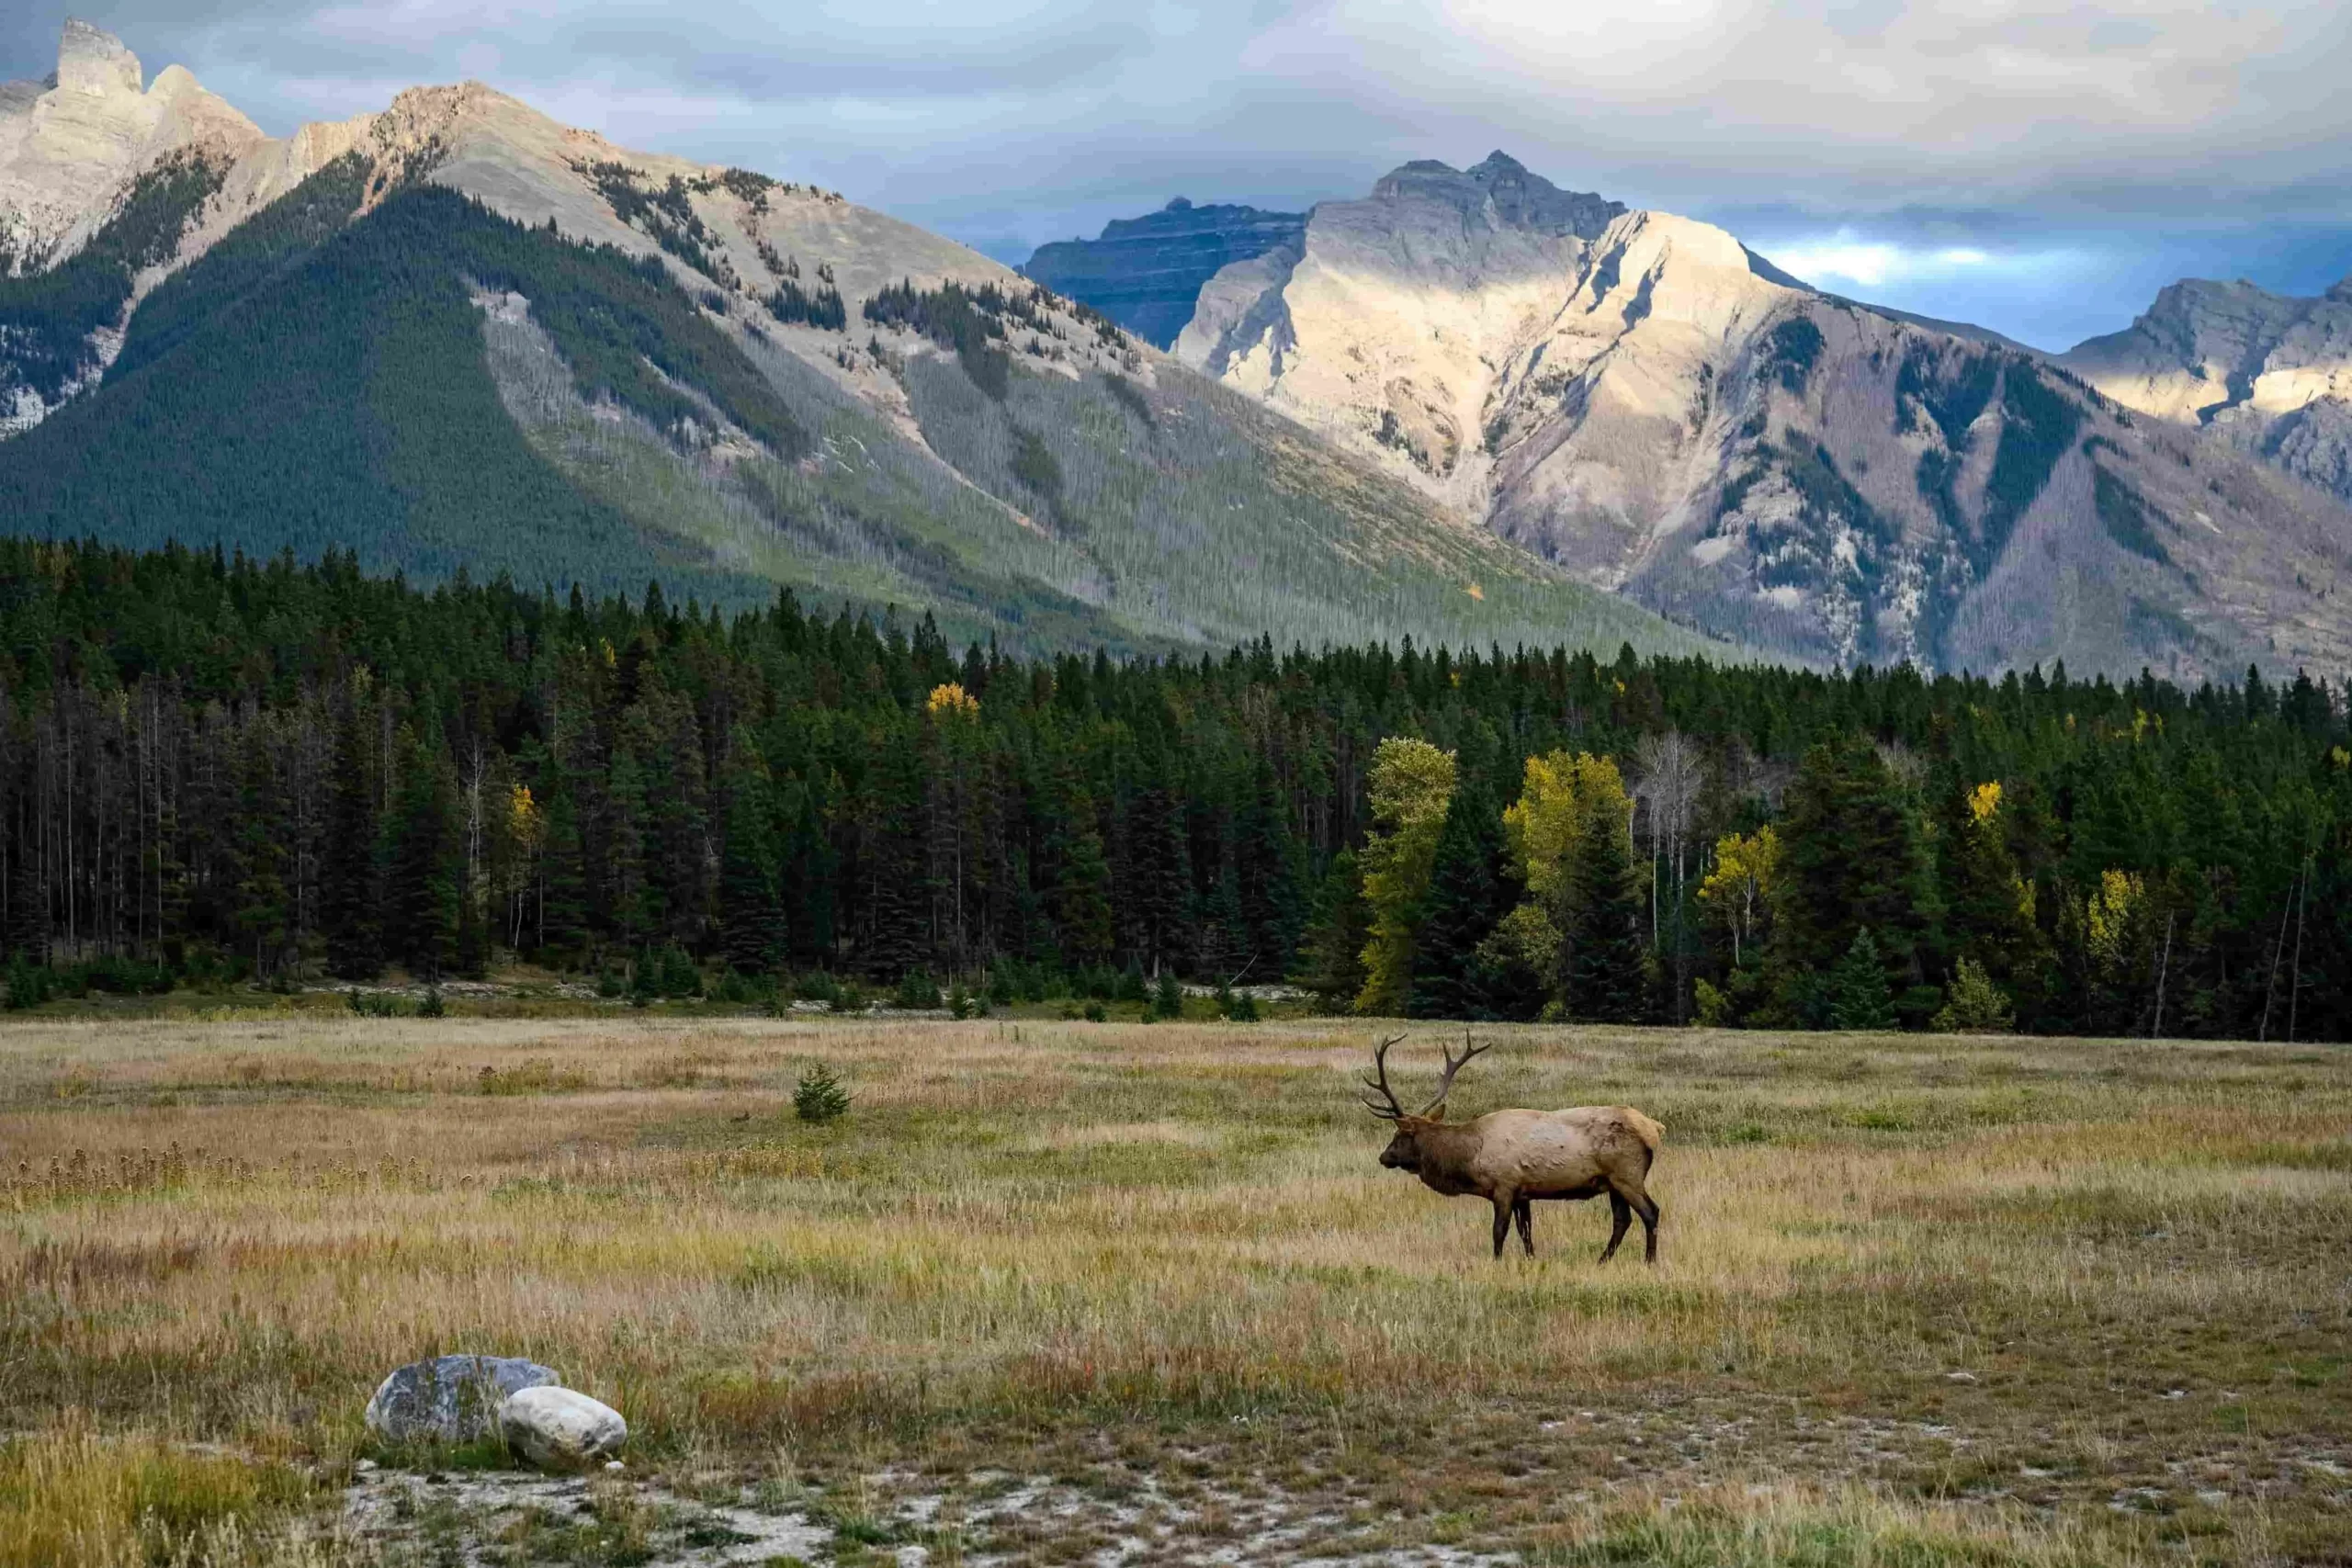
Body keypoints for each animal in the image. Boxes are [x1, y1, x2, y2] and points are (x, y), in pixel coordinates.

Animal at [1362, 1033, 1664, 1263]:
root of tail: (1654, 1129)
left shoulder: (1504, 1185)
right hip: (1612, 1182)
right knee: (1622, 1220)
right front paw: (1531, 1259)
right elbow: (1525, 1231)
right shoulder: (1523, 1192)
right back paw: (1603, 1260)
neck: (1471, 1158)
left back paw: (1649, 1261)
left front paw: (1496, 1261)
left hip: (1627, 1174)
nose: (1383, 1157)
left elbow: (1499, 1230)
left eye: (1400, 1135)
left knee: (1651, 1212)